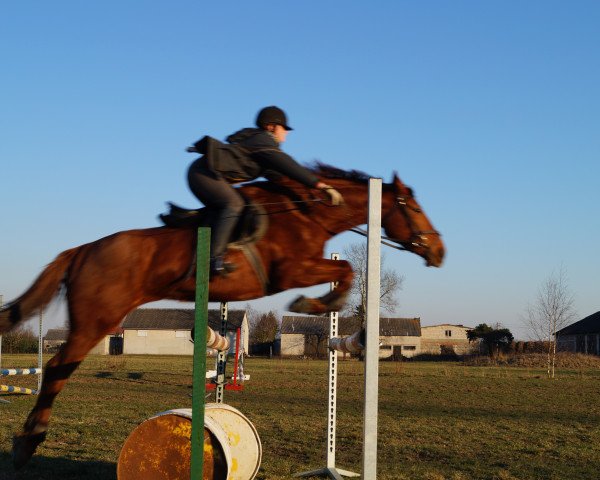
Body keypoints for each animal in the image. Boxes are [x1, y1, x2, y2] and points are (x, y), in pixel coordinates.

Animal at [1, 163, 446, 466]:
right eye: (410, 206)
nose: (439, 251)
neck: (305, 212)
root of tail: (82, 249)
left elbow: (346, 271)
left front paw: (323, 306)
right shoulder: (291, 269)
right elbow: (348, 269)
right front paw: (315, 306)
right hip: (97, 319)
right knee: (57, 367)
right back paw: (28, 441)